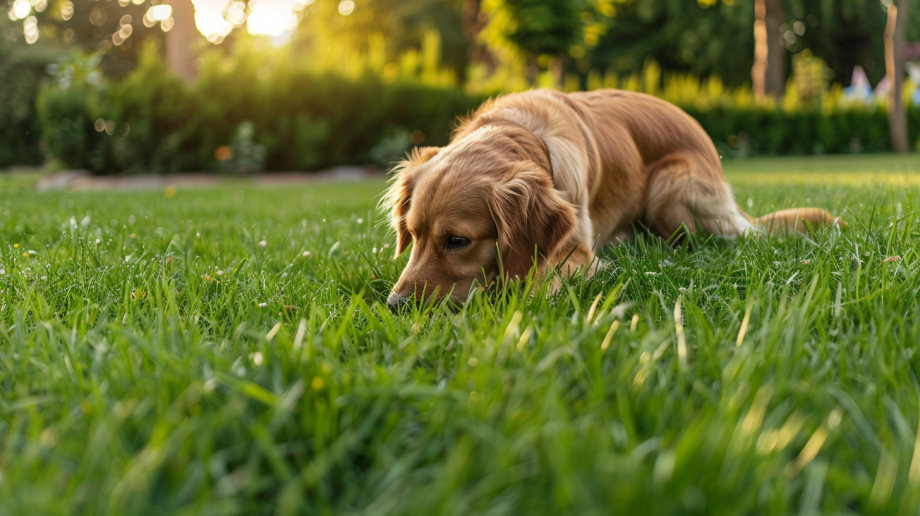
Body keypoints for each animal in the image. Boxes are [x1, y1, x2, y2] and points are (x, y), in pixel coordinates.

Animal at [382, 88, 848, 306]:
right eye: (412, 234)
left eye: (457, 241)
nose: (396, 305)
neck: (522, 133)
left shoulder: (578, 252)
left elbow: (536, 279)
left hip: (670, 187)